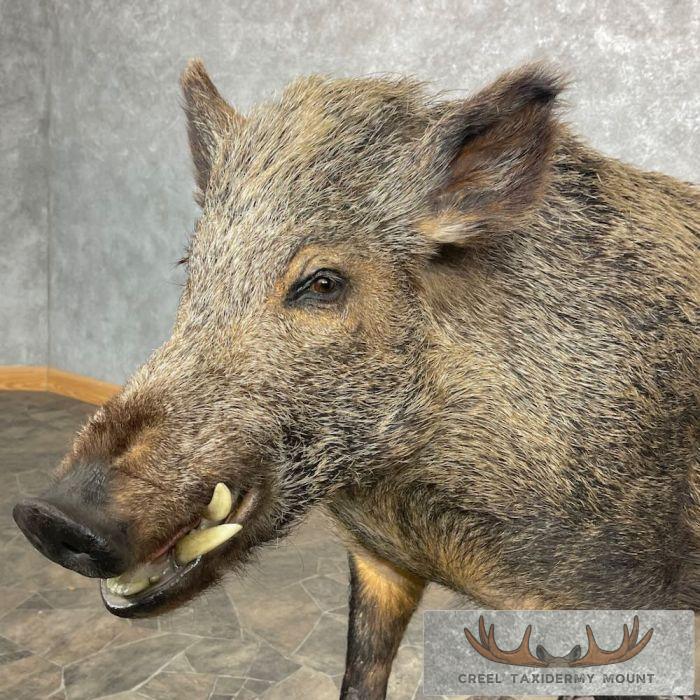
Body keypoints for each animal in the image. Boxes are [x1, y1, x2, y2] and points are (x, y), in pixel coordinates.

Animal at [13, 59, 699, 699]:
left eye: (322, 283)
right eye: (193, 266)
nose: (49, 515)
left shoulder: (615, 596)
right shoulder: (376, 564)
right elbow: (360, 673)